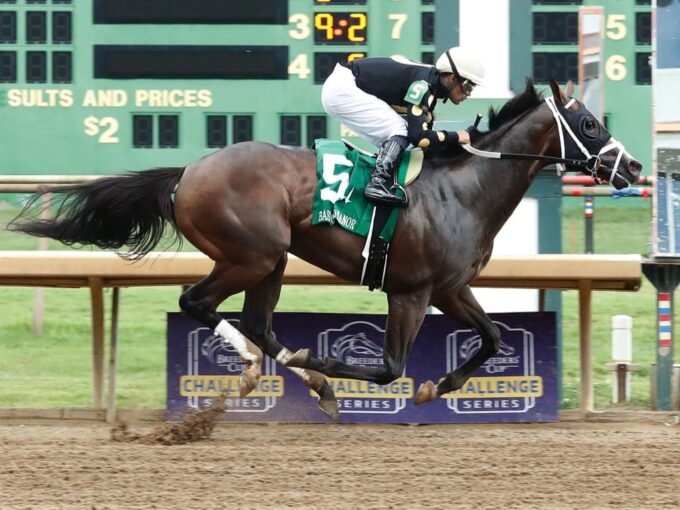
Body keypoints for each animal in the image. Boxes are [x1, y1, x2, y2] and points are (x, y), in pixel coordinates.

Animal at [9, 79, 644, 418]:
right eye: (589, 123)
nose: (633, 166)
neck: (462, 190)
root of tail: (188, 171)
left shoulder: (450, 288)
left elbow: (492, 338)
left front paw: (440, 386)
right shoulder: (410, 292)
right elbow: (389, 369)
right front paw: (351, 372)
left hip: (271, 259)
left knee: (255, 321)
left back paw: (297, 376)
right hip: (251, 254)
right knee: (199, 304)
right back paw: (263, 368)